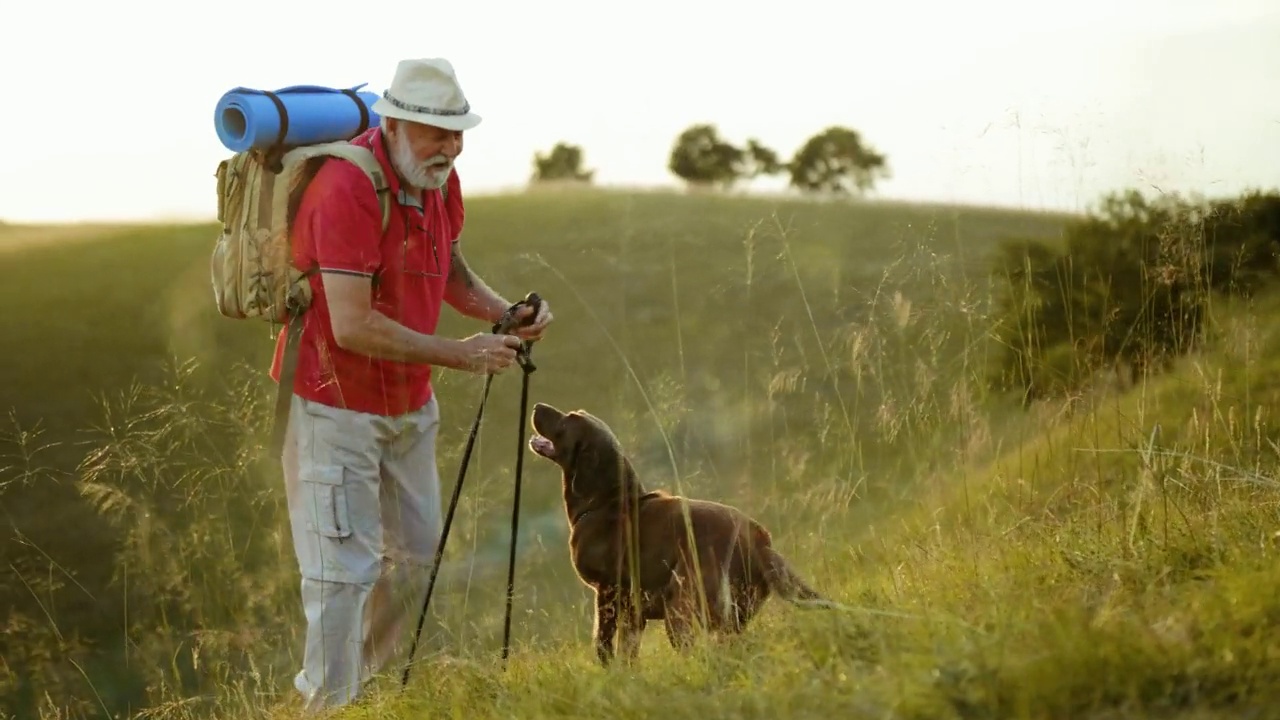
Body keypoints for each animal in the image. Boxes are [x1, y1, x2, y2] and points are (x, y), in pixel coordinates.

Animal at [524, 399, 834, 666]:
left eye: (567, 420)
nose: (537, 406)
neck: (607, 502)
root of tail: (759, 541)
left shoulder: (607, 593)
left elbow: (602, 644)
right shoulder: (633, 611)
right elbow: (627, 652)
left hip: (680, 607)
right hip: (730, 615)